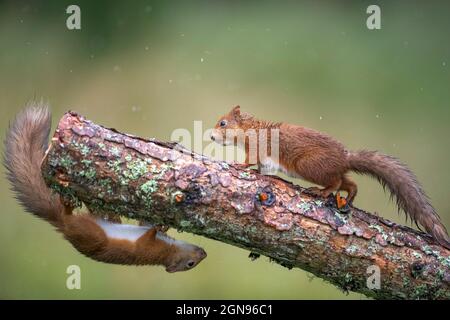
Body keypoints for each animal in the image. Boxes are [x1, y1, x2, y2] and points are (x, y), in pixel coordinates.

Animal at [2, 103, 207, 272]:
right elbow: (147, 233)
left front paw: (160, 225)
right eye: (190, 264)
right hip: (91, 233)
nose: (204, 253)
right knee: (71, 214)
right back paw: (68, 202)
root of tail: (63, 227)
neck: (167, 249)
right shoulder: (148, 247)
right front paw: (159, 225)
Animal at [211, 104, 450, 248]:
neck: (252, 130)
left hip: (309, 166)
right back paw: (349, 197)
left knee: (335, 183)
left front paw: (238, 164)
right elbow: (261, 167)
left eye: (223, 123)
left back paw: (321, 192)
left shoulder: (255, 148)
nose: (212, 136)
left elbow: (249, 160)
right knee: (349, 183)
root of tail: (345, 158)